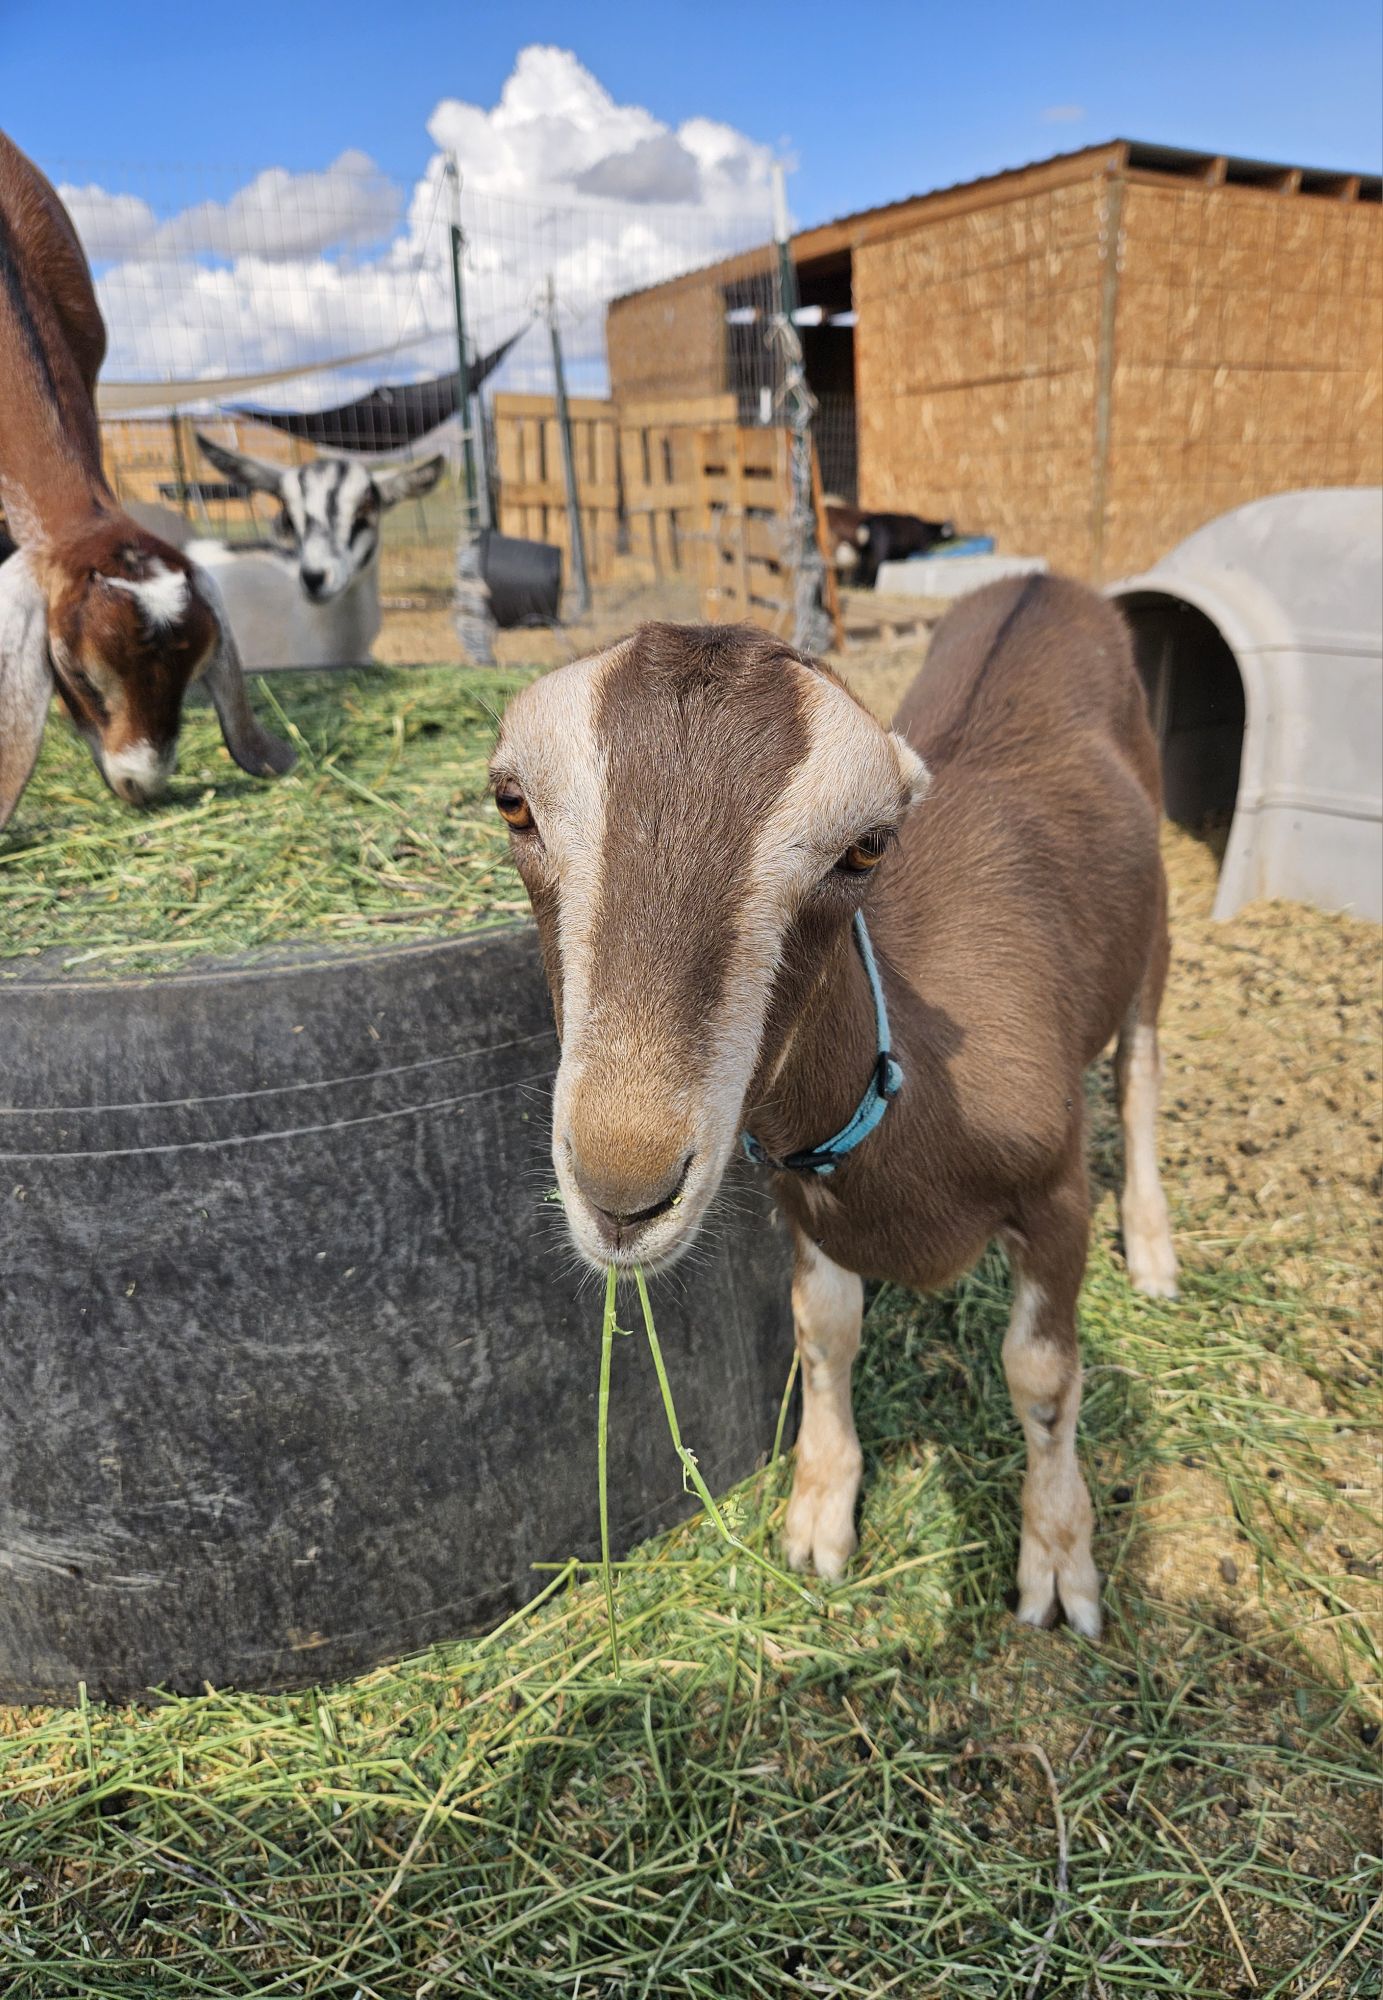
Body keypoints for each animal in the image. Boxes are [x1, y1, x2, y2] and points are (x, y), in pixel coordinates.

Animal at [490, 578, 1178, 1637]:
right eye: (512, 803)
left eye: (866, 847)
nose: (623, 1192)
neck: (911, 1085)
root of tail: (1044, 584)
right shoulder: (800, 1200)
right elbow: (823, 1329)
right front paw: (818, 1514)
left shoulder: (1055, 1189)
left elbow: (1041, 1375)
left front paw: (1060, 1565)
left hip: (1158, 921)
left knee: (1140, 1065)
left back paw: (1151, 1249)